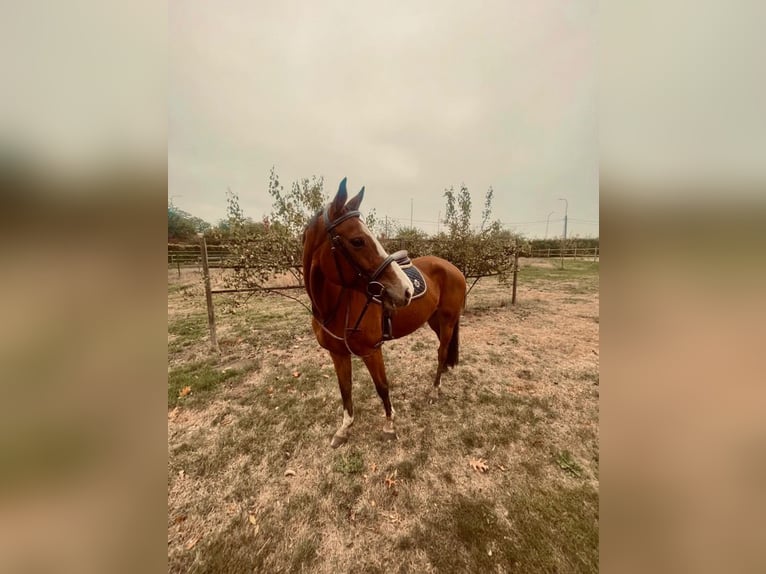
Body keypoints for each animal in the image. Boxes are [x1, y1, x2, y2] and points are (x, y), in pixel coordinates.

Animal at [302, 177, 467, 447]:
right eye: (358, 240)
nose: (406, 290)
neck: (336, 305)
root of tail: (453, 268)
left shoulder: (372, 351)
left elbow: (382, 386)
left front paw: (389, 425)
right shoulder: (338, 354)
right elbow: (345, 389)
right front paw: (345, 428)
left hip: (448, 321)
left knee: (442, 353)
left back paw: (434, 390)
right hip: (434, 321)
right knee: (442, 354)